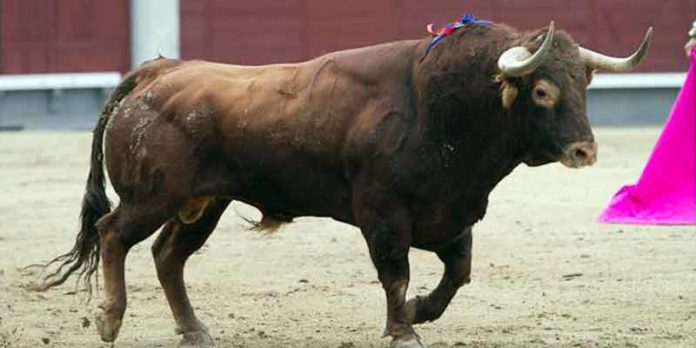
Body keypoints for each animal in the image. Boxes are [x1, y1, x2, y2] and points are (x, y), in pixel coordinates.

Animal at [35, 18, 648, 348]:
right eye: (543, 91)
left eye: (584, 86)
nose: (584, 150)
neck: (442, 108)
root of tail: (159, 71)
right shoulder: (383, 213)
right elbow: (395, 274)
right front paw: (403, 328)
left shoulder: (455, 212)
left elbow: (458, 274)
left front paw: (420, 312)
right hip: (153, 195)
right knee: (114, 234)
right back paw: (110, 319)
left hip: (204, 202)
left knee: (167, 256)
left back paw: (195, 330)